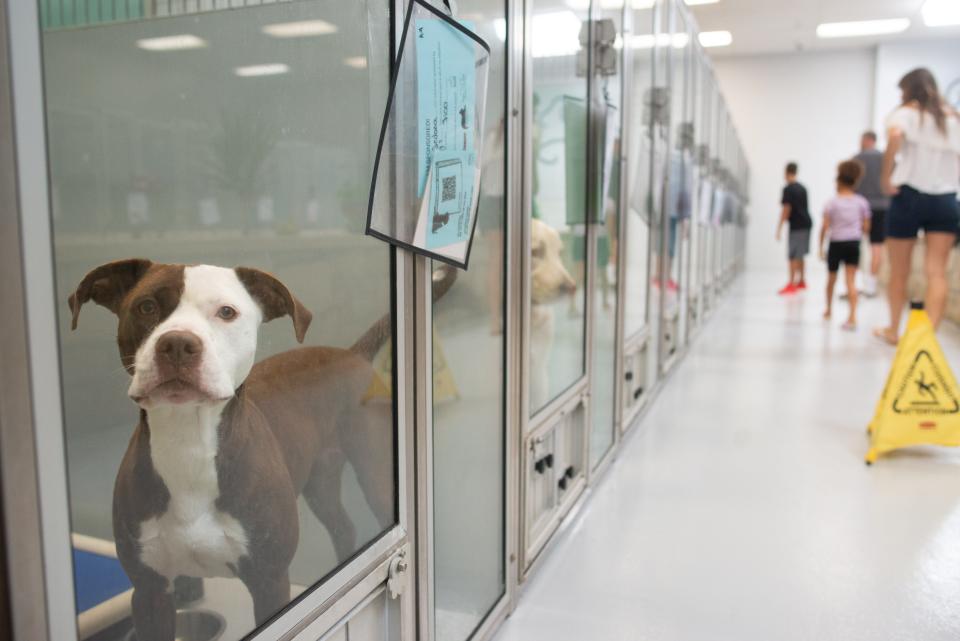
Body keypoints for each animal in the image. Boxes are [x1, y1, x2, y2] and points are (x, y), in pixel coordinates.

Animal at [69, 260, 452, 640]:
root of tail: (349, 354)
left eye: (226, 312)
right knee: (343, 526)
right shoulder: (149, 591)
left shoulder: (270, 583)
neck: (189, 443)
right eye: (146, 306)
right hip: (320, 484)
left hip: (375, 477)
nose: (177, 343)